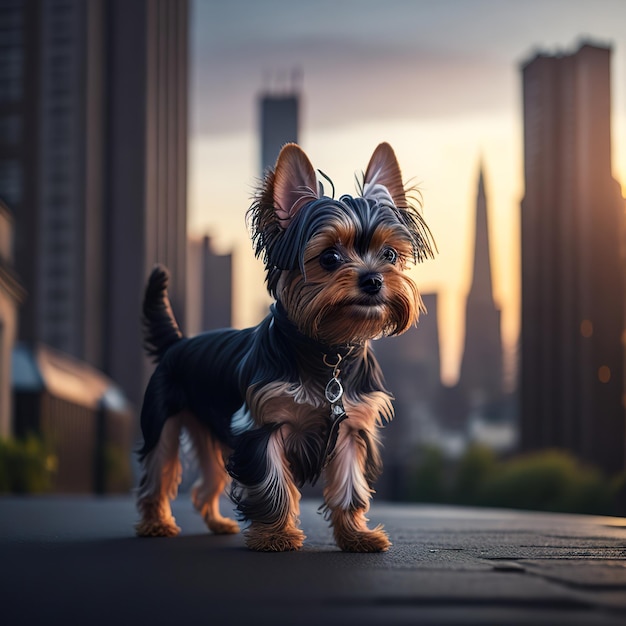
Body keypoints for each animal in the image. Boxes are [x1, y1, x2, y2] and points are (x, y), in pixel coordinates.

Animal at [134, 143, 432, 552]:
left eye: (389, 254)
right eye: (329, 257)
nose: (373, 280)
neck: (328, 348)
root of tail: (177, 343)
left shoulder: (350, 428)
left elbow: (350, 487)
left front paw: (356, 536)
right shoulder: (262, 424)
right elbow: (273, 484)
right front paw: (276, 536)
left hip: (210, 429)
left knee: (207, 480)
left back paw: (217, 522)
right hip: (164, 417)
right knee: (157, 468)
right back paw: (156, 524)